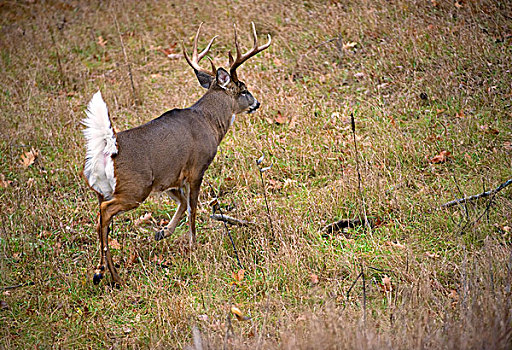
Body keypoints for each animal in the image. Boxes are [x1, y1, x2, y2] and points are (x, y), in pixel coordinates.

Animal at [82, 23, 272, 286]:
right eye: (243, 89)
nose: (257, 103)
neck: (209, 122)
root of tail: (108, 148)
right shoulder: (196, 168)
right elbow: (193, 208)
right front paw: (193, 244)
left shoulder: (169, 177)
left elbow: (182, 204)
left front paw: (162, 232)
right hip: (136, 188)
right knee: (105, 212)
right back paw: (105, 272)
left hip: (104, 189)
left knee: (103, 221)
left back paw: (109, 274)